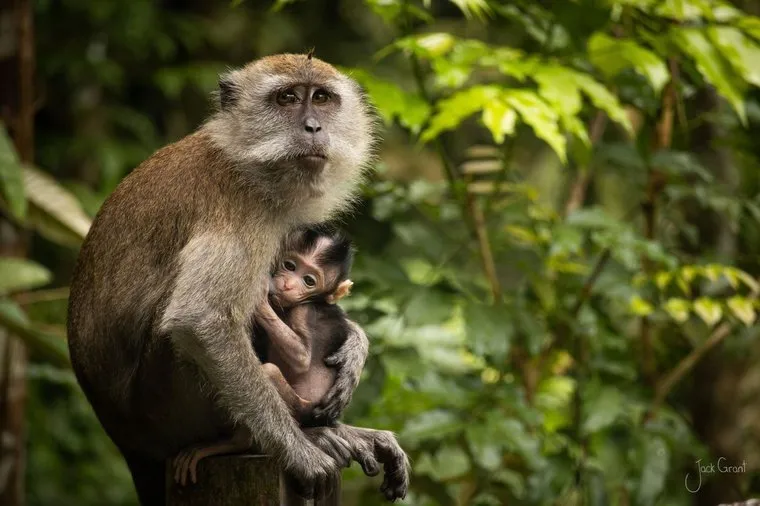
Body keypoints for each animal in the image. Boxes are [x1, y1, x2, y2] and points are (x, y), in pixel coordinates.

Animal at [172, 226, 357, 486]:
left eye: (309, 281)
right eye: (290, 265)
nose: (288, 284)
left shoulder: (304, 310)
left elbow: (302, 359)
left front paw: (260, 298)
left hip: (303, 409)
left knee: (268, 372)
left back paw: (237, 443)